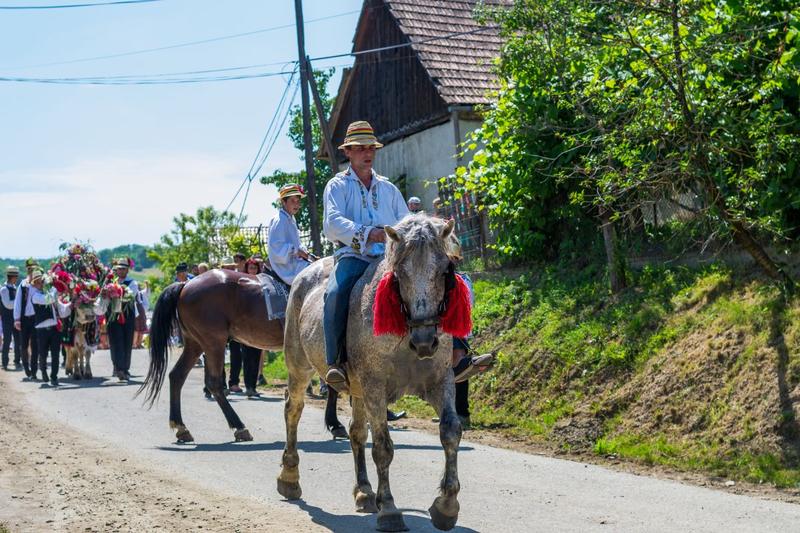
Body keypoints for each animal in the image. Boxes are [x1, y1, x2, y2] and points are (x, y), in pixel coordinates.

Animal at [141, 268, 346, 442]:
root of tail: (186, 284)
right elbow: (333, 385)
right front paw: (335, 424)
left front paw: (334, 423)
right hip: (214, 343)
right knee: (214, 383)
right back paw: (239, 427)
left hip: (195, 343)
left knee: (177, 376)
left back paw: (181, 427)